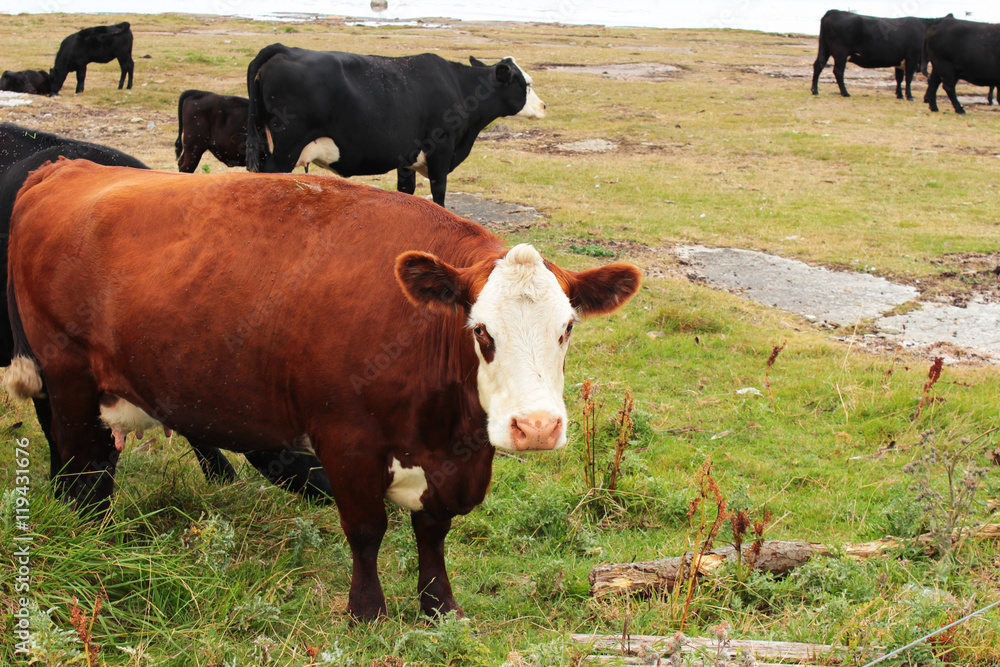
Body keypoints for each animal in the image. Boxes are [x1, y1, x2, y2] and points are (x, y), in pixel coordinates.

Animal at [4, 161, 640, 619]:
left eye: (567, 327)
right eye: (481, 330)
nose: (536, 427)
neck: (447, 431)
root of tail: (64, 167)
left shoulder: (449, 460)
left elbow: (433, 531)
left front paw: (440, 607)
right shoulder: (347, 437)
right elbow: (366, 529)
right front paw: (368, 612)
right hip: (67, 377)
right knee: (82, 467)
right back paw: (92, 538)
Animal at [245, 44, 546, 207]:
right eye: (527, 84)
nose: (544, 106)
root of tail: (284, 49)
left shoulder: (407, 156)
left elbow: (407, 191)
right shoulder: (441, 149)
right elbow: (439, 194)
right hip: (286, 148)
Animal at [811, 10, 950, 100]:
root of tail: (834, 12)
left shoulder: (900, 61)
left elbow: (899, 78)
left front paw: (899, 95)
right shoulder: (912, 57)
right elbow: (909, 78)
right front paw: (909, 96)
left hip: (824, 49)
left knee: (818, 65)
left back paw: (815, 91)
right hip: (841, 53)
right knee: (838, 71)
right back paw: (845, 93)